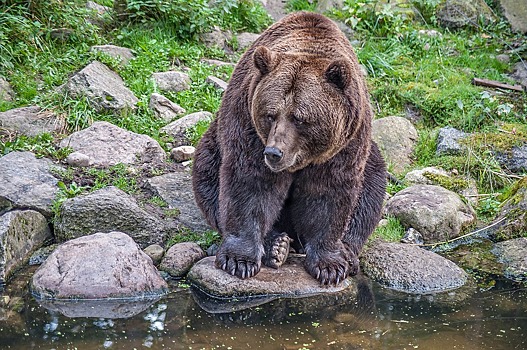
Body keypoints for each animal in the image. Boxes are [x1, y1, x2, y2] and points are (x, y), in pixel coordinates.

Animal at [192, 11, 386, 284]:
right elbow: (250, 183)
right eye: (270, 114)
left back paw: (347, 253)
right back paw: (277, 245)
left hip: (370, 155)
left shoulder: (345, 145)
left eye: (300, 118)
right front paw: (239, 260)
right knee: (207, 174)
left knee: (371, 189)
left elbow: (329, 193)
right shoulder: (248, 125)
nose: (274, 153)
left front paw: (329, 266)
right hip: (213, 142)